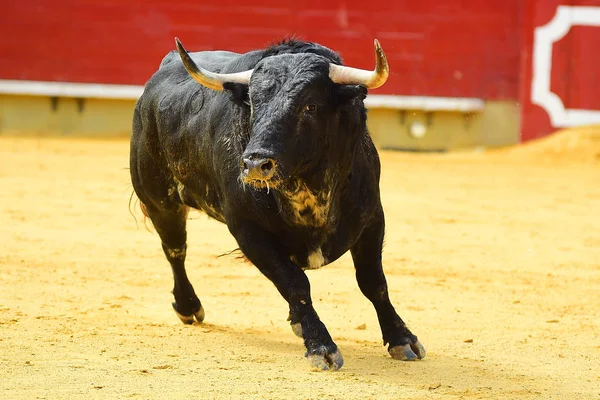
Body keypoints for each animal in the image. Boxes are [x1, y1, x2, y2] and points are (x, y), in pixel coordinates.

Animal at [130, 36, 426, 370]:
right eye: (255, 104)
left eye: (310, 106)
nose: (255, 164)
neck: (308, 190)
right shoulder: (248, 231)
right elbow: (295, 283)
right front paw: (321, 346)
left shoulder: (372, 217)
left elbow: (373, 281)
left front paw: (402, 339)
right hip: (160, 201)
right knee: (175, 251)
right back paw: (188, 306)